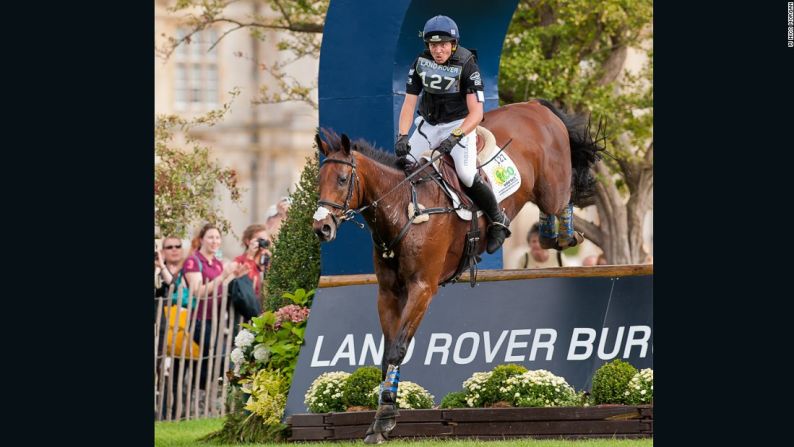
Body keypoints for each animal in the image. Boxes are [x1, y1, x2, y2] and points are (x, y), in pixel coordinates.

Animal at [310, 99, 600, 444]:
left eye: (342, 180)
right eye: (319, 182)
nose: (321, 228)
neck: (405, 209)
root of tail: (534, 105)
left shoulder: (422, 288)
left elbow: (397, 350)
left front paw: (384, 422)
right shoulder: (388, 293)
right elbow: (386, 354)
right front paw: (381, 417)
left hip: (550, 186)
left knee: (559, 202)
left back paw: (563, 234)